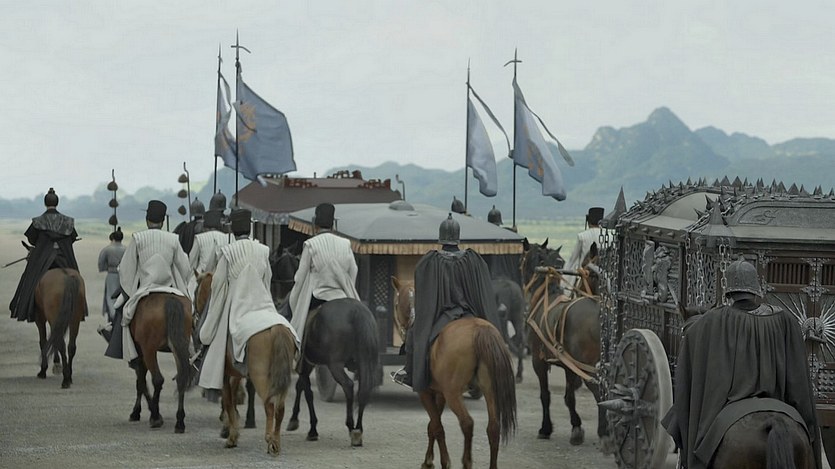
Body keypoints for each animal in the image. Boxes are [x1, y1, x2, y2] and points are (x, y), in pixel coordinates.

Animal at [129, 292, 194, 433]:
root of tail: (171, 300)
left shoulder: (140, 351)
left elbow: (140, 382)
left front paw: (138, 413)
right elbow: (140, 381)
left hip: (149, 349)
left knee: (157, 379)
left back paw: (155, 417)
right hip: (179, 346)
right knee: (181, 379)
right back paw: (179, 422)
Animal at [195, 272, 297, 454]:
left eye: (195, 293)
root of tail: (276, 328)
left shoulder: (224, 375)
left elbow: (228, 401)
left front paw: (231, 435)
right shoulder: (235, 373)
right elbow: (233, 397)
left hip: (260, 377)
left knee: (270, 404)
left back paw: (270, 440)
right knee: (280, 408)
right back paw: (276, 441)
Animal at [285, 298, 380, 447]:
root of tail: (357, 311)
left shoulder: (305, 363)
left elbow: (307, 393)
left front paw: (312, 430)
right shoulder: (308, 364)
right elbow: (301, 387)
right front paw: (294, 419)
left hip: (335, 365)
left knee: (348, 386)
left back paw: (351, 426)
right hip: (365, 361)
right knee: (363, 390)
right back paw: (358, 429)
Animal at [392, 277, 518, 469]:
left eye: (396, 303)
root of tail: (481, 330)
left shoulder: (425, 392)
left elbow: (437, 426)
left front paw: (441, 462)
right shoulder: (440, 393)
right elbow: (432, 425)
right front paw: (428, 460)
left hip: (454, 395)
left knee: (467, 423)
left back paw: (466, 461)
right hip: (490, 390)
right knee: (493, 427)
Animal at [521, 239, 609, 448]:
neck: (544, 296)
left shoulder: (538, 361)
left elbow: (545, 395)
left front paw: (545, 428)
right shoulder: (569, 365)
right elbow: (569, 397)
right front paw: (576, 427)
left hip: (588, 367)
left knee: (600, 392)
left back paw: (605, 432)